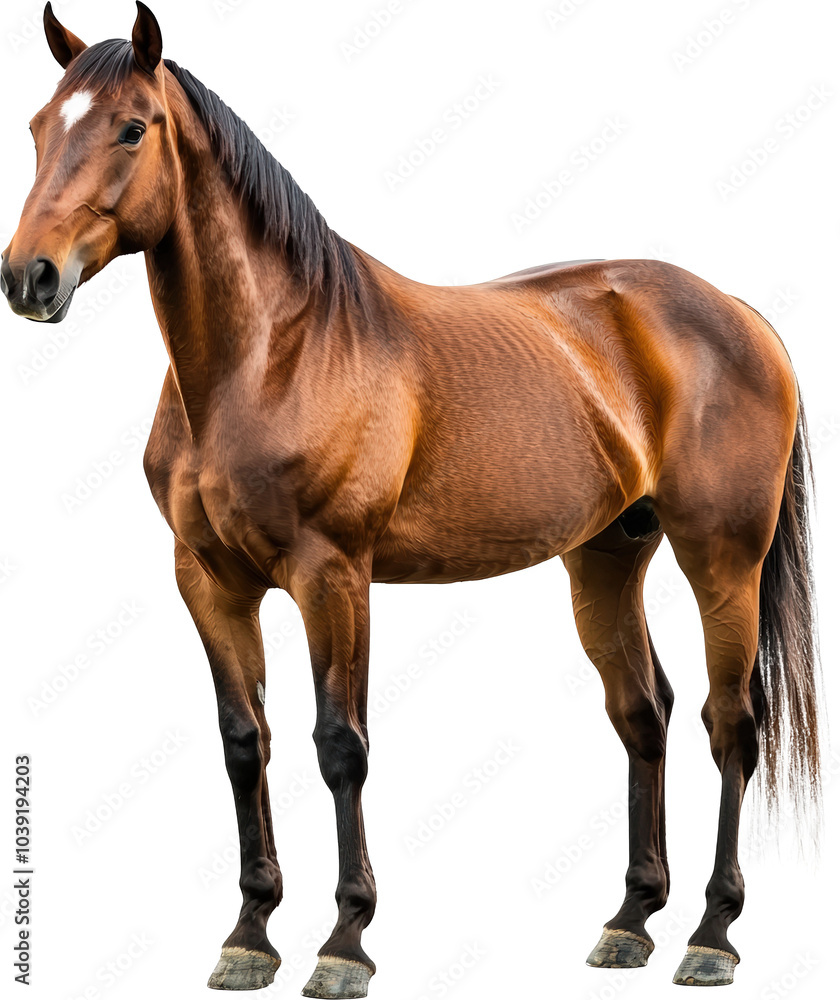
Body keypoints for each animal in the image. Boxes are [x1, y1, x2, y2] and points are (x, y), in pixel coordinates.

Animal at [2, 4, 821, 995]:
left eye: (132, 128)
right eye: (38, 129)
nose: (29, 277)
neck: (272, 356)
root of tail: (740, 312)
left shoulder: (333, 578)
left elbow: (340, 746)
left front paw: (343, 942)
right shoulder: (208, 582)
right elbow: (244, 742)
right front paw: (249, 934)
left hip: (722, 559)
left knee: (730, 722)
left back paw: (712, 934)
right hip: (606, 556)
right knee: (644, 714)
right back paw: (630, 921)